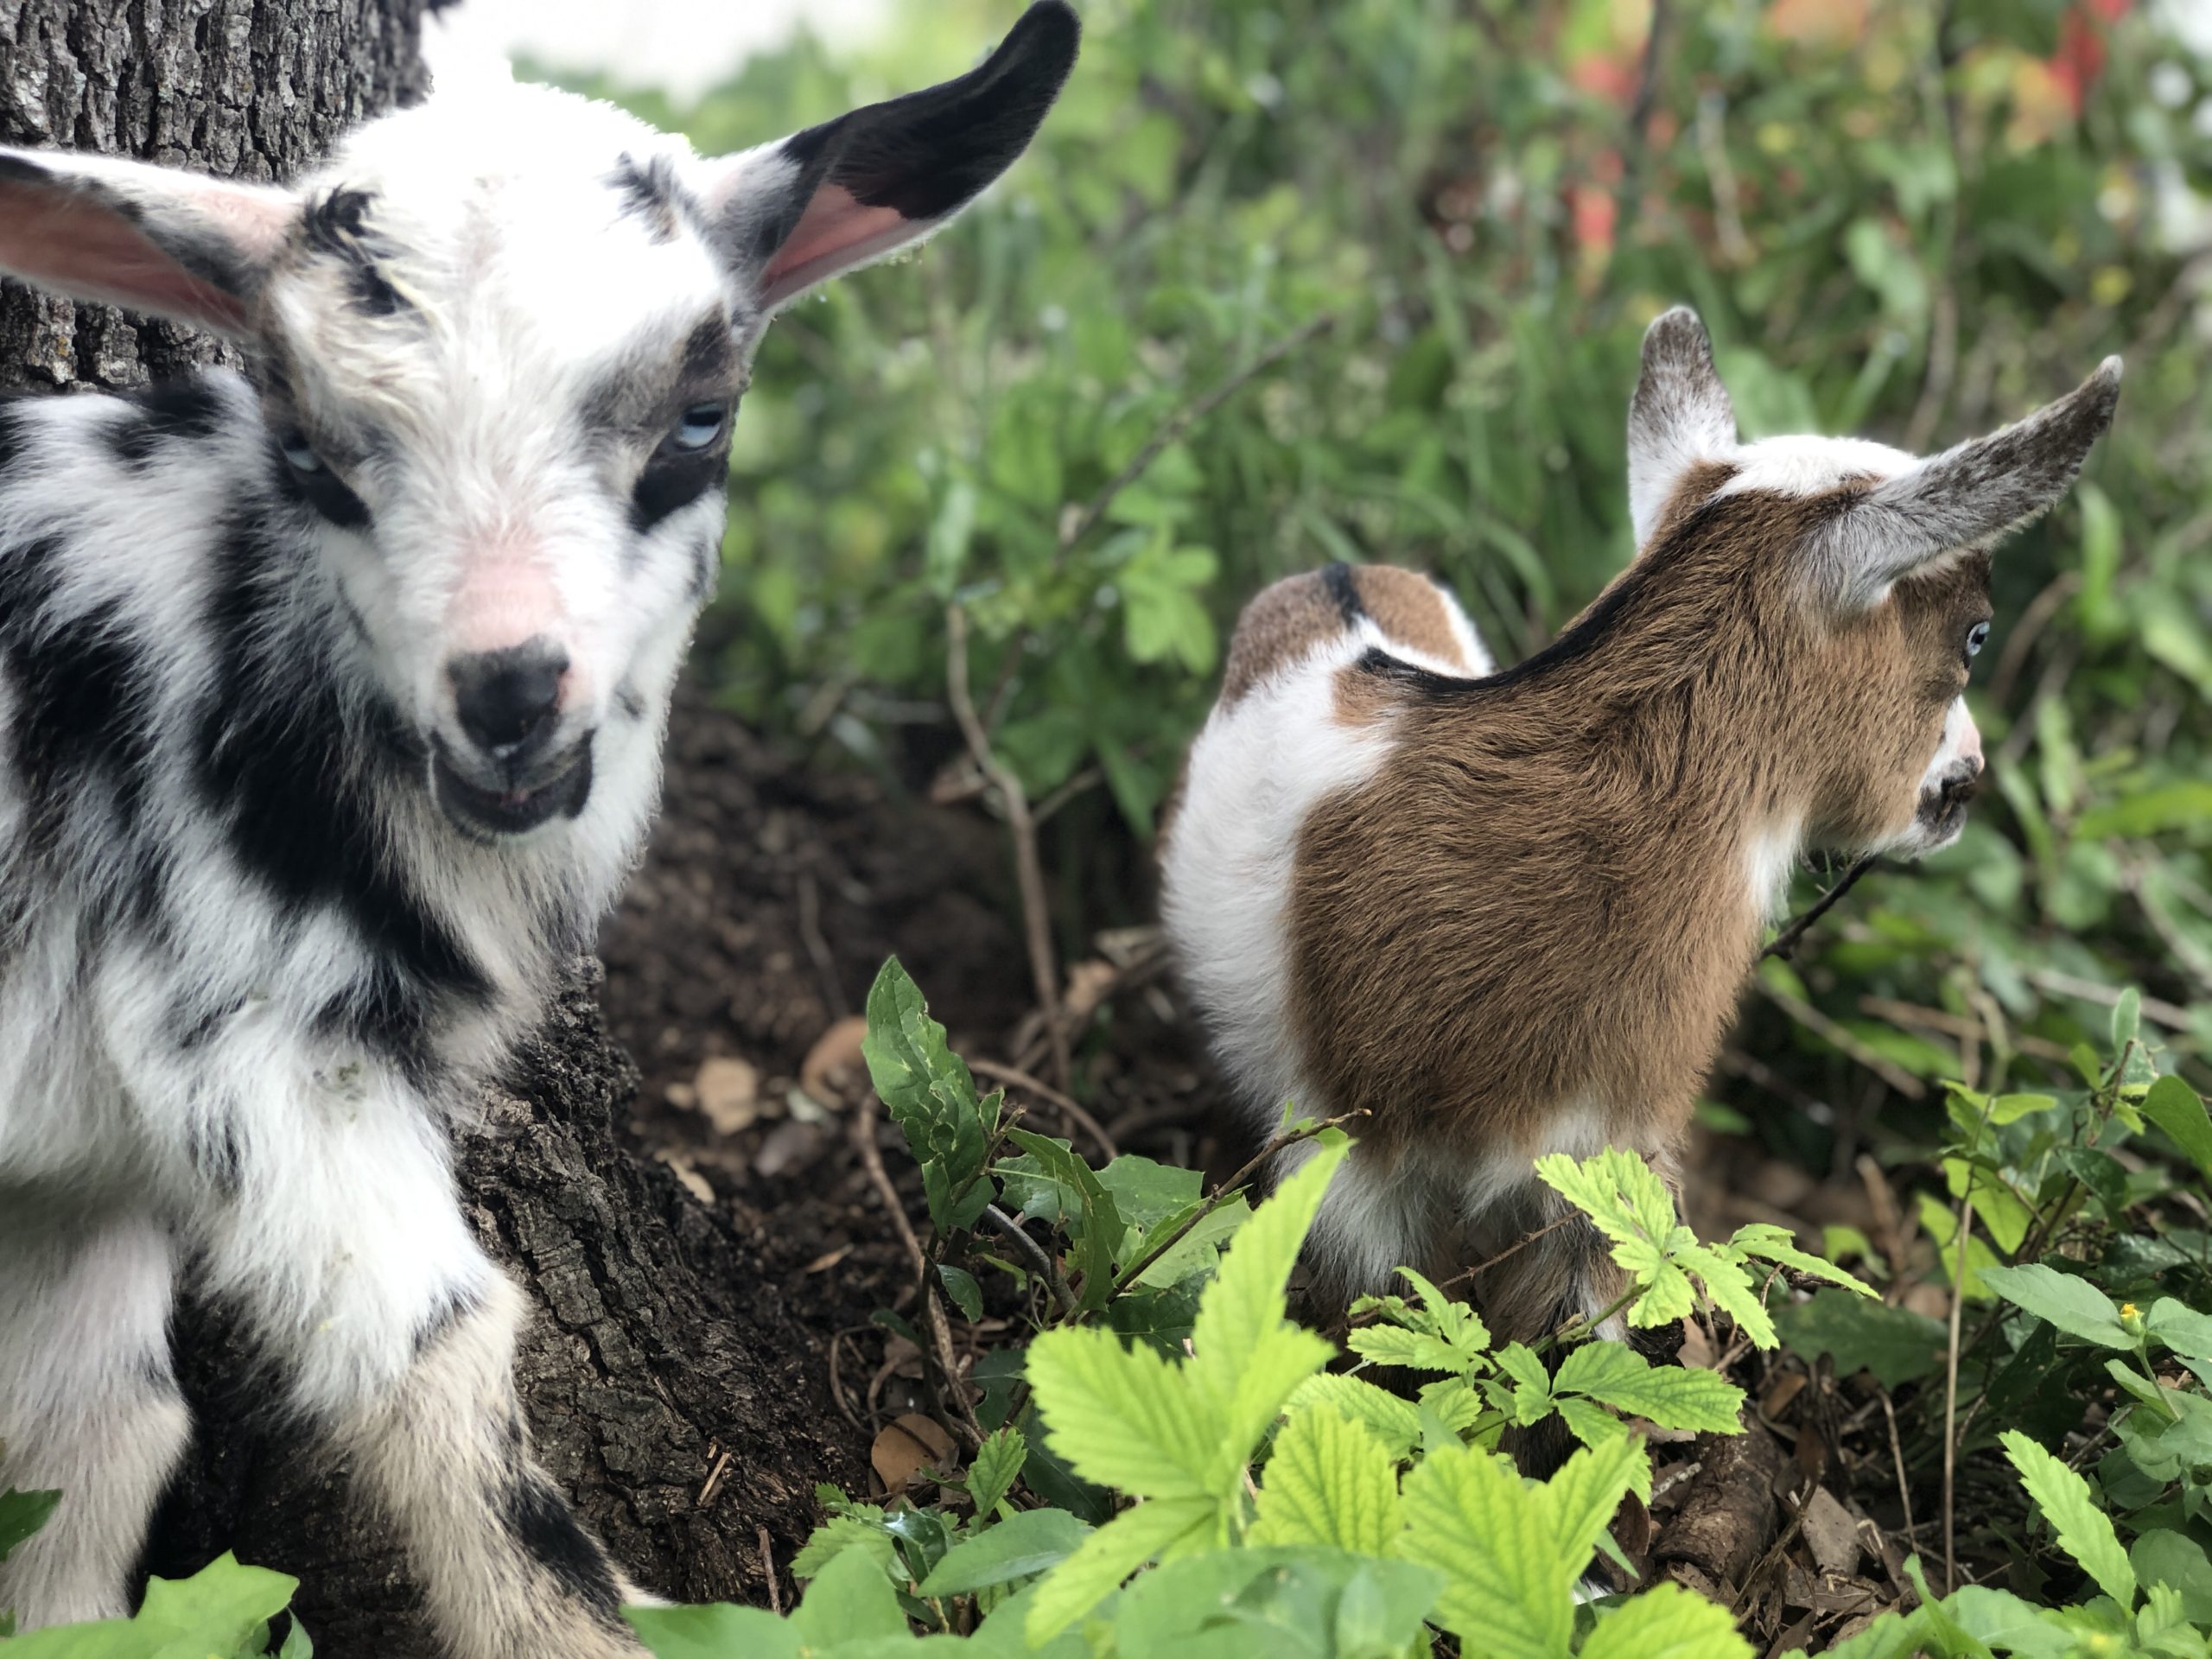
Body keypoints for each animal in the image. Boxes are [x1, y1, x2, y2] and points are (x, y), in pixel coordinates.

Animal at [0, 6, 1076, 1652]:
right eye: (307, 453)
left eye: (701, 420)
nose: (508, 694)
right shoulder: (252, 1022)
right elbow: (434, 1358)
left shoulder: (80, 1167)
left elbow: (90, 1438)